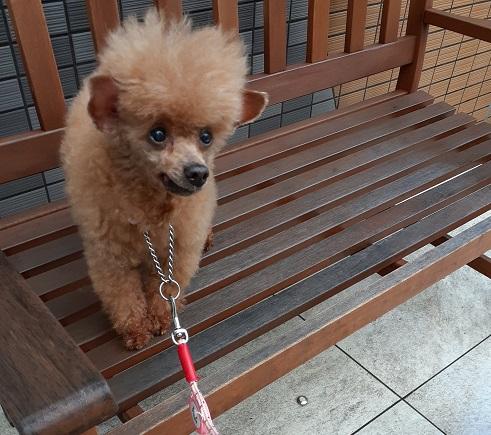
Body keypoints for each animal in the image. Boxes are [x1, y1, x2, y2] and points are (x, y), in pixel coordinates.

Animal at [61, 10, 267, 350]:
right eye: (157, 134)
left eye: (206, 137)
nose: (198, 173)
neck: (151, 206)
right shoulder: (109, 254)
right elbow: (121, 293)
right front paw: (135, 328)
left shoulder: (181, 245)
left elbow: (169, 286)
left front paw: (160, 317)